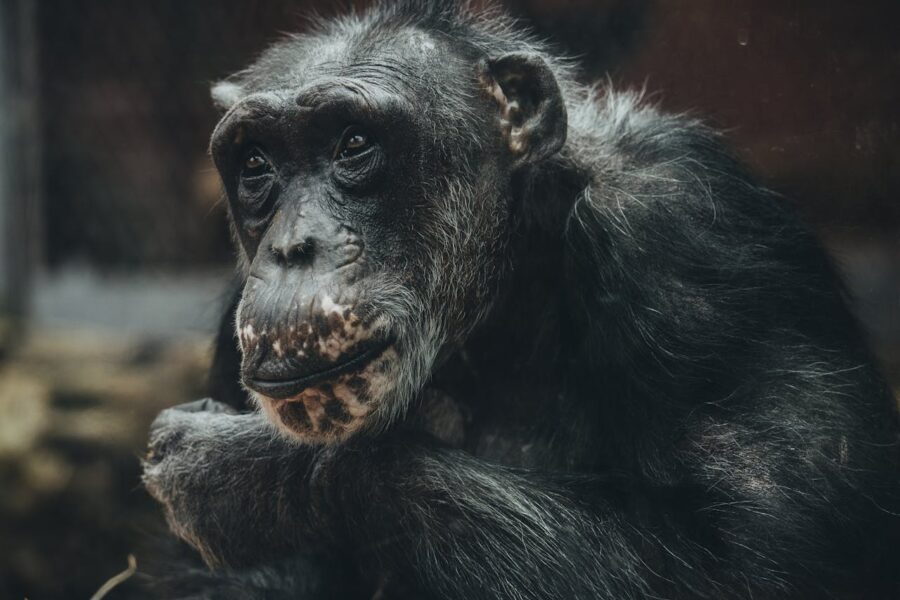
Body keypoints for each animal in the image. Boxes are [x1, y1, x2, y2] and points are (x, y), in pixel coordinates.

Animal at [143, 2, 900, 598]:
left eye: (354, 144)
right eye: (256, 164)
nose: (293, 246)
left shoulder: (699, 248)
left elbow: (749, 556)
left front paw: (251, 475)